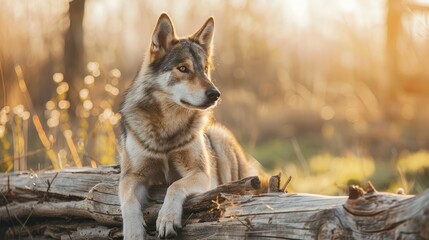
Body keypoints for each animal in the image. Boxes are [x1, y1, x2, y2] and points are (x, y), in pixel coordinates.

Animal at [117, 13, 264, 240]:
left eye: (204, 69)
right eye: (183, 69)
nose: (215, 94)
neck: (167, 128)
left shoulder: (201, 174)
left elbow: (174, 186)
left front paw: (167, 219)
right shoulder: (132, 176)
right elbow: (129, 201)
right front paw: (133, 232)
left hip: (218, 138)